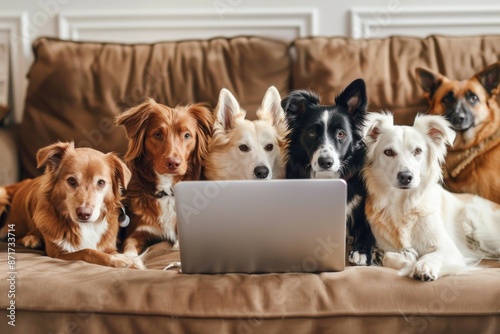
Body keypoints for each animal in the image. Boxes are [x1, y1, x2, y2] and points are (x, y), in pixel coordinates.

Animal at [0, 142, 136, 268]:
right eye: (71, 180)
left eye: (101, 182)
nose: (84, 214)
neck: (86, 226)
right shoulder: (57, 253)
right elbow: (87, 251)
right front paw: (117, 260)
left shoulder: (108, 246)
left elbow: (112, 252)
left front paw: (132, 261)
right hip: (3, 195)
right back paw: (30, 239)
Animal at [364, 113, 500, 282]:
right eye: (388, 152)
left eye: (418, 151)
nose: (405, 177)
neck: (403, 204)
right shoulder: (386, 246)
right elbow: (387, 256)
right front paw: (407, 260)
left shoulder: (450, 250)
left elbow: (431, 256)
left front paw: (423, 266)